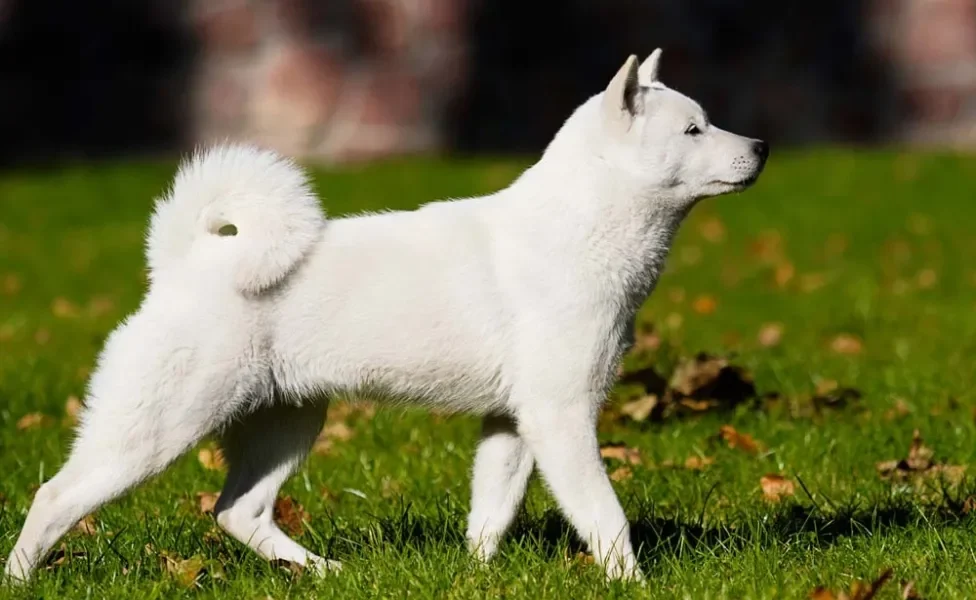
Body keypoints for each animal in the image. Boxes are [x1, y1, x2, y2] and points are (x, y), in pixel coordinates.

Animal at [7, 49, 772, 584]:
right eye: (694, 128)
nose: (762, 147)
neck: (578, 228)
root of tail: (182, 262)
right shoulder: (560, 420)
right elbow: (604, 516)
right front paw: (633, 582)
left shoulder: (512, 426)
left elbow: (489, 517)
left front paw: (474, 578)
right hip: (156, 431)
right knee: (54, 497)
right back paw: (20, 580)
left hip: (287, 424)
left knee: (238, 513)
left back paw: (320, 572)